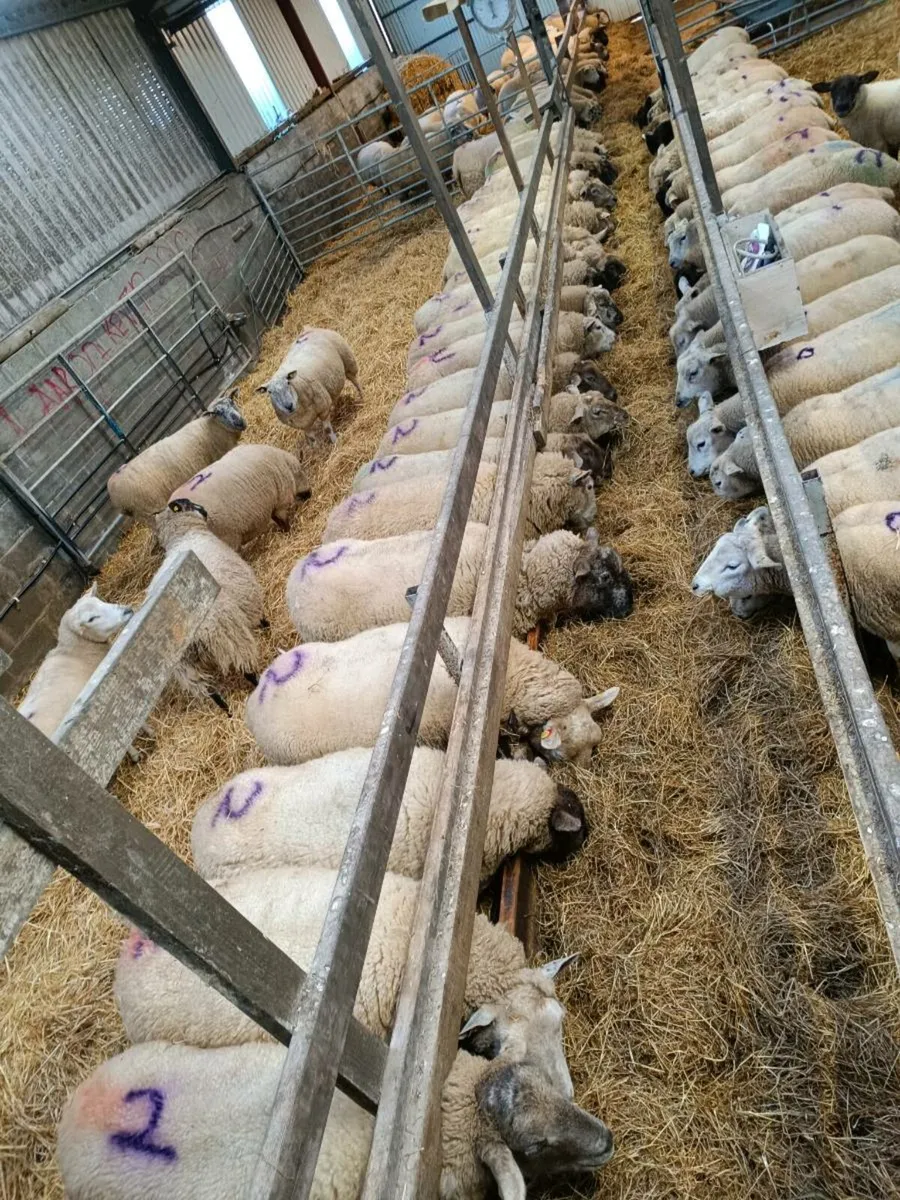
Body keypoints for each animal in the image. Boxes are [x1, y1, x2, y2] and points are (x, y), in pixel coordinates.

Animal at [106, 394, 245, 519]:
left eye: (232, 402)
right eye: (218, 412)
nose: (240, 422)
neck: (211, 426)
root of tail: (112, 489)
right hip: (148, 511)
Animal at [150, 499, 264, 692]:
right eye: (187, 504)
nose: (204, 510)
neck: (184, 535)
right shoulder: (245, 588)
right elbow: (258, 614)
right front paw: (265, 624)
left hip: (184, 666)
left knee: (210, 690)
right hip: (228, 634)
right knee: (246, 668)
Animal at [167, 444, 310, 550]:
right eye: (301, 472)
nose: (309, 494)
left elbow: (276, 518)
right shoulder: (280, 500)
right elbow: (283, 520)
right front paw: (289, 533)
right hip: (227, 536)